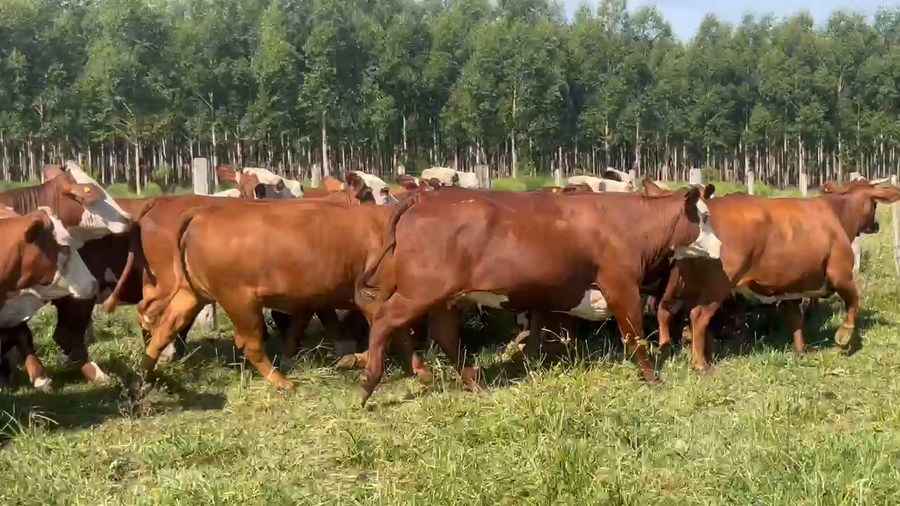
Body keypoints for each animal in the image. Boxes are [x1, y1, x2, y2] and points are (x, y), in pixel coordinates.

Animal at [134, 195, 431, 396]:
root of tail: (200, 213)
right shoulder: (376, 299)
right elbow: (395, 336)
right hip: (240, 301)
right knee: (250, 344)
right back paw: (282, 382)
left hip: (191, 294)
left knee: (163, 331)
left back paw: (145, 374)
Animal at [350, 184, 719, 406]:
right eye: (703, 217)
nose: (719, 247)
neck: (631, 224)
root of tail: (425, 197)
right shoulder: (622, 286)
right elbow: (635, 336)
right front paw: (653, 378)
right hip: (420, 291)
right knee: (384, 319)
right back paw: (368, 382)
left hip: (444, 296)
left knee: (444, 335)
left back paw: (475, 383)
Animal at [651, 179, 900, 372]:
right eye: (875, 203)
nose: (876, 225)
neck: (835, 213)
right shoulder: (840, 273)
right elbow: (854, 301)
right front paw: (844, 336)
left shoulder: (793, 284)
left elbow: (796, 318)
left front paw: (801, 350)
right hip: (717, 286)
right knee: (698, 317)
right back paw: (701, 364)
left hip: (688, 284)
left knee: (674, 314)